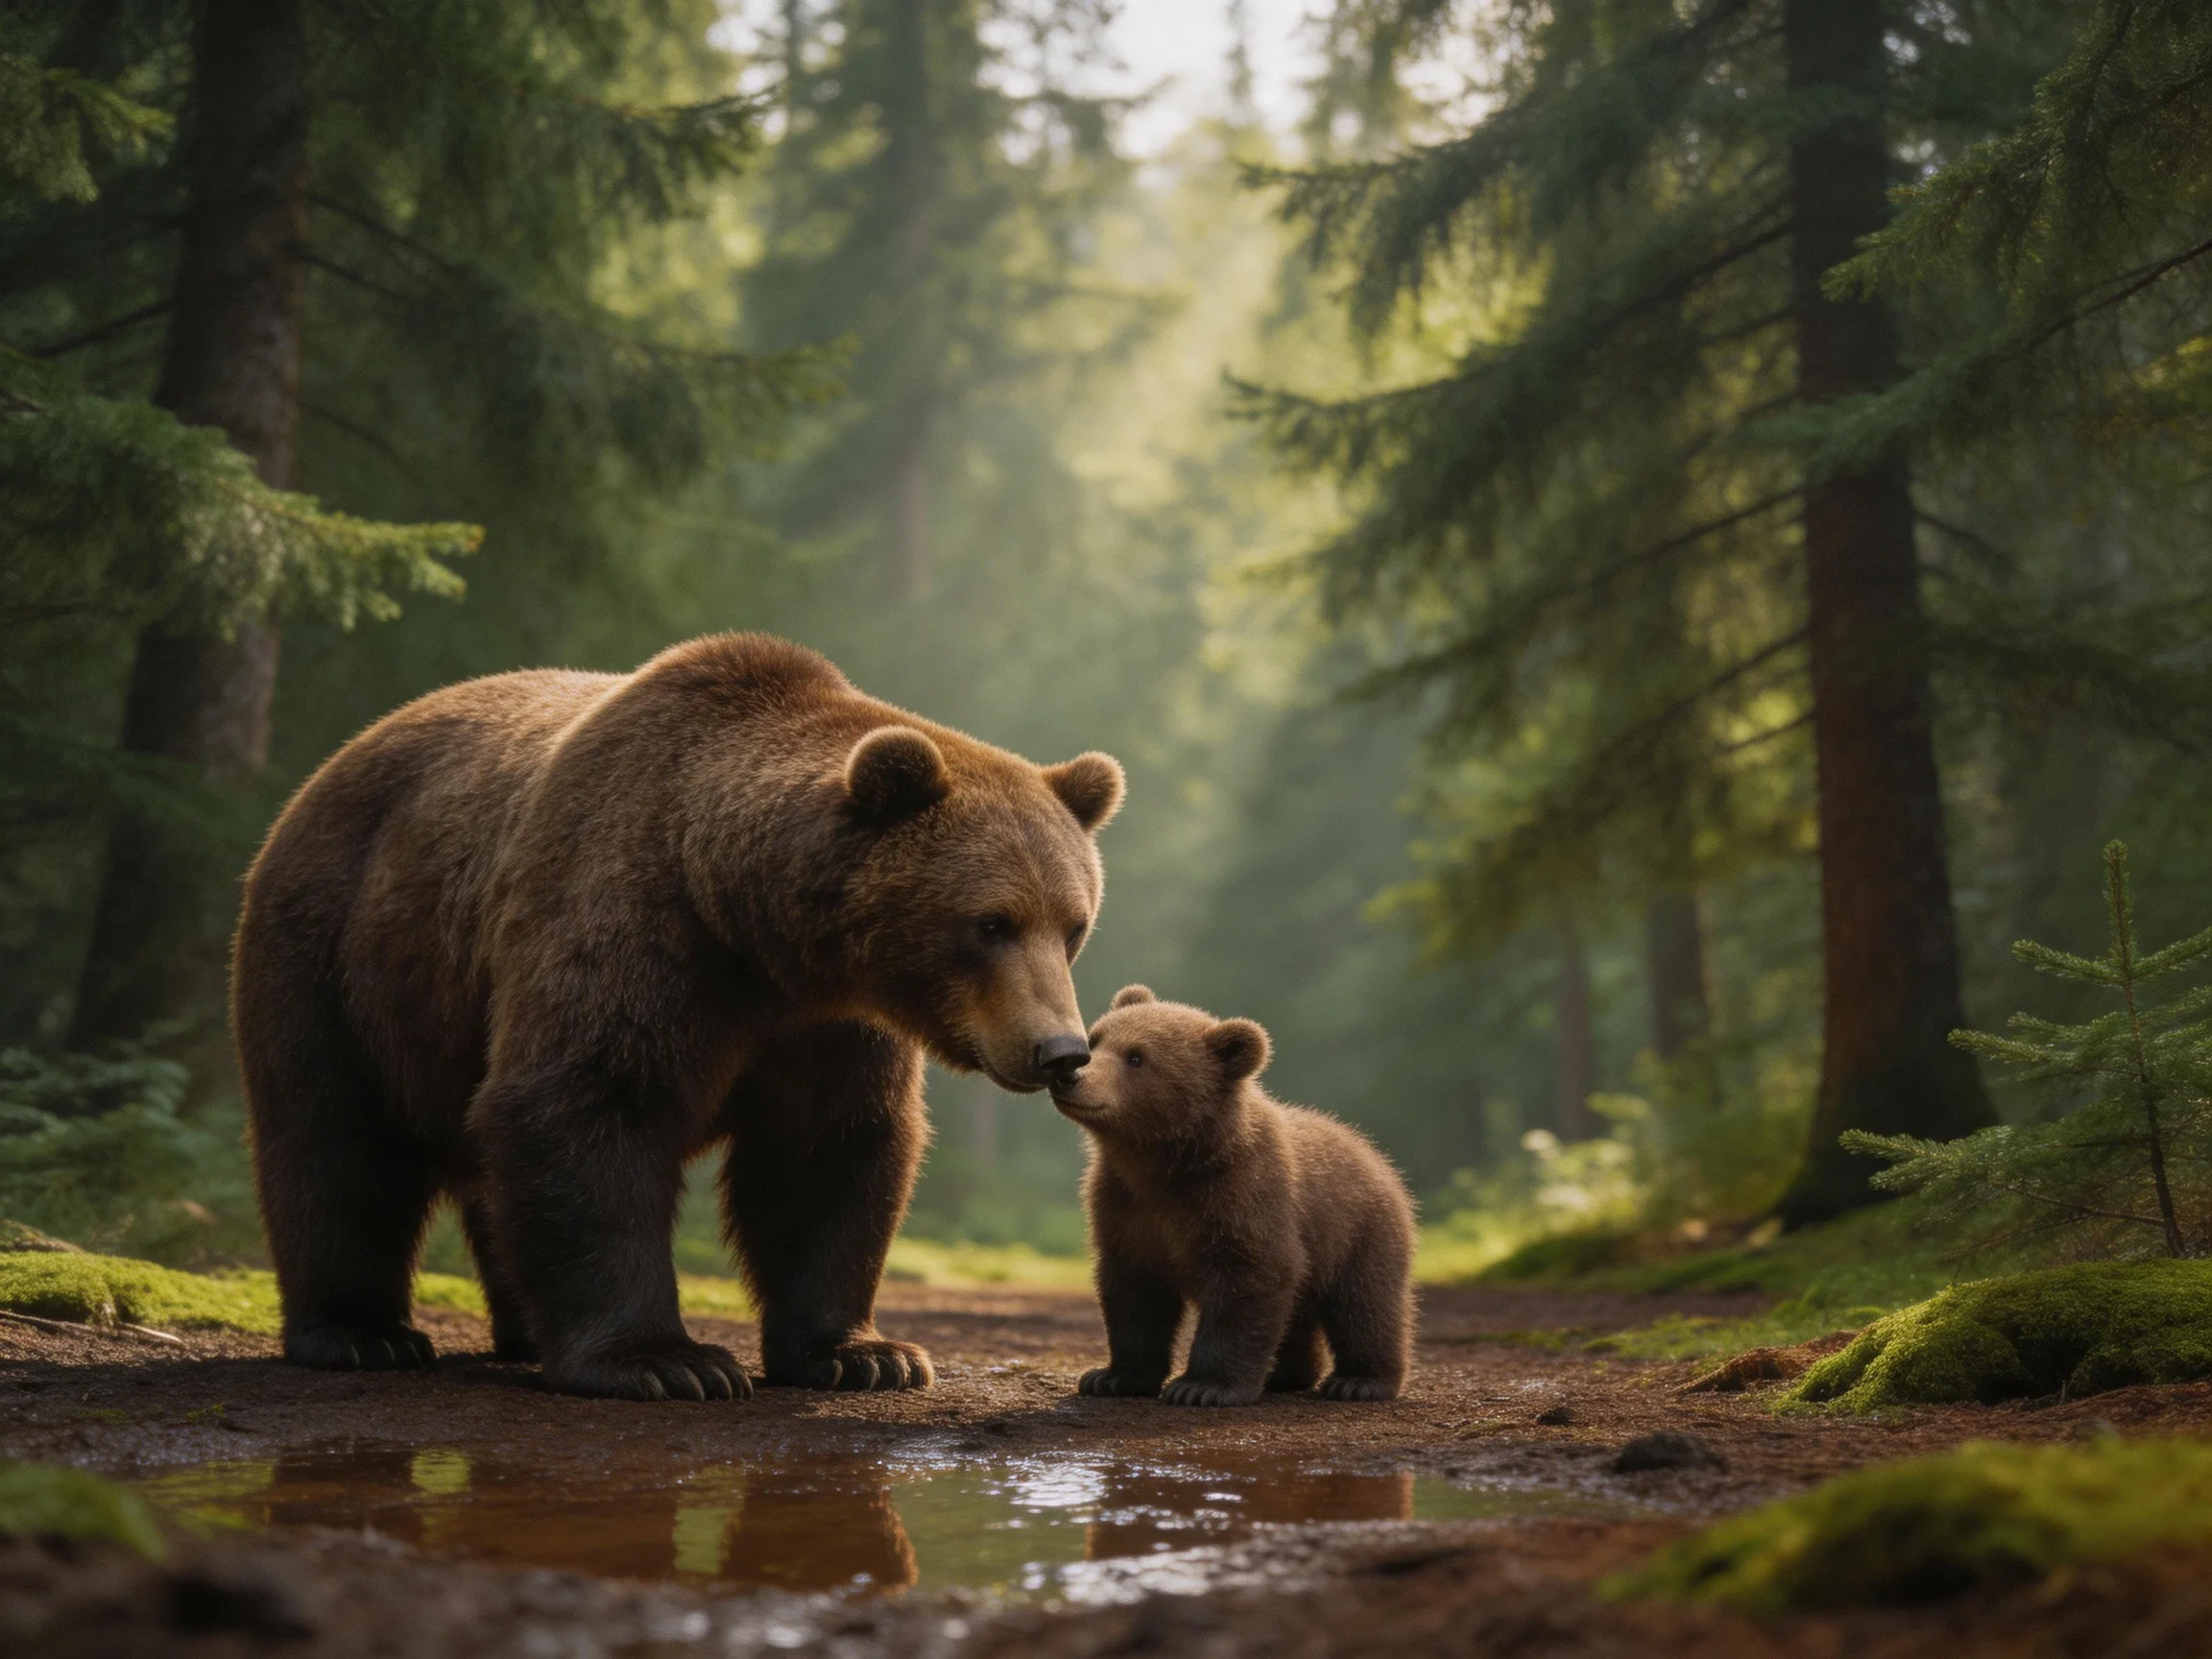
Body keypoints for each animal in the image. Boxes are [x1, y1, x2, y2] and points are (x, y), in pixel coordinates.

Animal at [230, 633, 1123, 1401]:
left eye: (1072, 925)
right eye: (991, 923)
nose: (1058, 1050)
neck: (754, 929)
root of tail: (326, 770)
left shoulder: (829, 1023)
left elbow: (830, 1151)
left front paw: (865, 1354)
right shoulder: (635, 927)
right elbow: (587, 1106)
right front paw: (665, 1362)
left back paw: (518, 1330)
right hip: (341, 956)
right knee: (336, 1140)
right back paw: (360, 1334)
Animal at [1050, 986, 1415, 1406]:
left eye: (1137, 1057)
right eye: (1095, 1040)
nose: (1068, 1075)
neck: (1162, 1163)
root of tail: (1376, 1156)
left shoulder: (1241, 1196)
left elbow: (1248, 1281)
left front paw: (1200, 1386)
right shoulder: (1125, 1206)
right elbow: (1134, 1295)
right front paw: (1110, 1377)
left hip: (1359, 1232)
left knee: (1365, 1308)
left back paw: (1358, 1381)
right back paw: (1286, 1375)